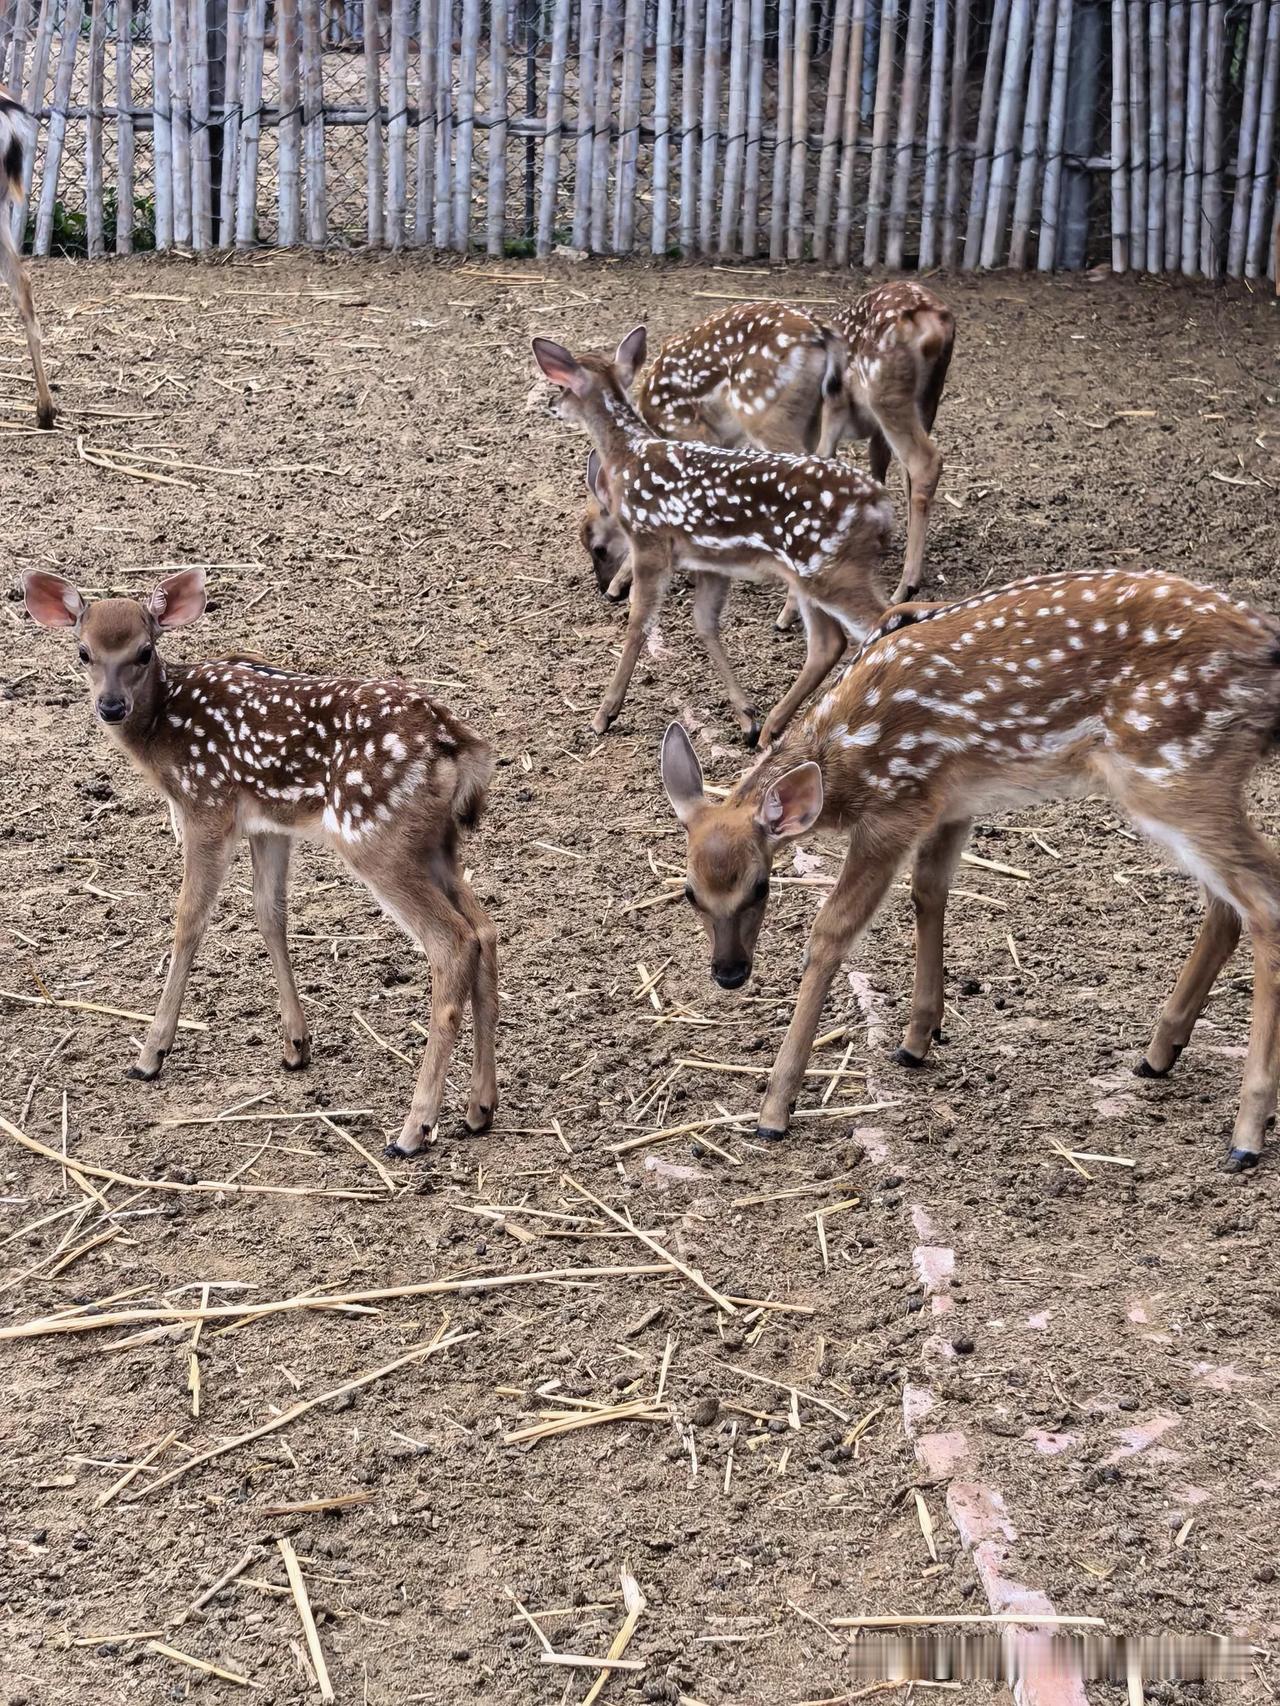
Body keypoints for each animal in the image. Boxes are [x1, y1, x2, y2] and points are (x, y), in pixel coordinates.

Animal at [22, 567, 497, 1160]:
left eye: (144, 651)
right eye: (83, 651)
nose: (110, 706)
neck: (163, 735)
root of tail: (460, 747)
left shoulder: (206, 807)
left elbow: (189, 922)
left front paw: (150, 1054)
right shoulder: (271, 825)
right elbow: (270, 915)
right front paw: (296, 1044)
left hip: (376, 837)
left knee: (452, 942)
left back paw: (413, 1130)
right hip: (436, 844)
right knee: (485, 930)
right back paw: (479, 1109)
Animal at [533, 328, 894, 751]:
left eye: (563, 385)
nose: (552, 405)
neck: (629, 456)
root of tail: (880, 506)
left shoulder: (649, 541)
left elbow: (638, 623)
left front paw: (604, 714)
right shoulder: (710, 562)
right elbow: (705, 623)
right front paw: (746, 716)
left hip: (830, 567)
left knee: (881, 620)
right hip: (812, 572)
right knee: (829, 643)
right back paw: (772, 728)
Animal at [662, 566, 1280, 1174]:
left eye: (761, 887)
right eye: (688, 892)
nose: (729, 973)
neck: (845, 759)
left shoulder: (896, 809)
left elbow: (831, 932)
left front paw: (774, 1109)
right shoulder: (949, 802)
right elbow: (928, 892)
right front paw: (918, 1037)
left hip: (1173, 769)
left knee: (1262, 898)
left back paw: (1246, 1134)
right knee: (1227, 903)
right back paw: (1159, 1053)